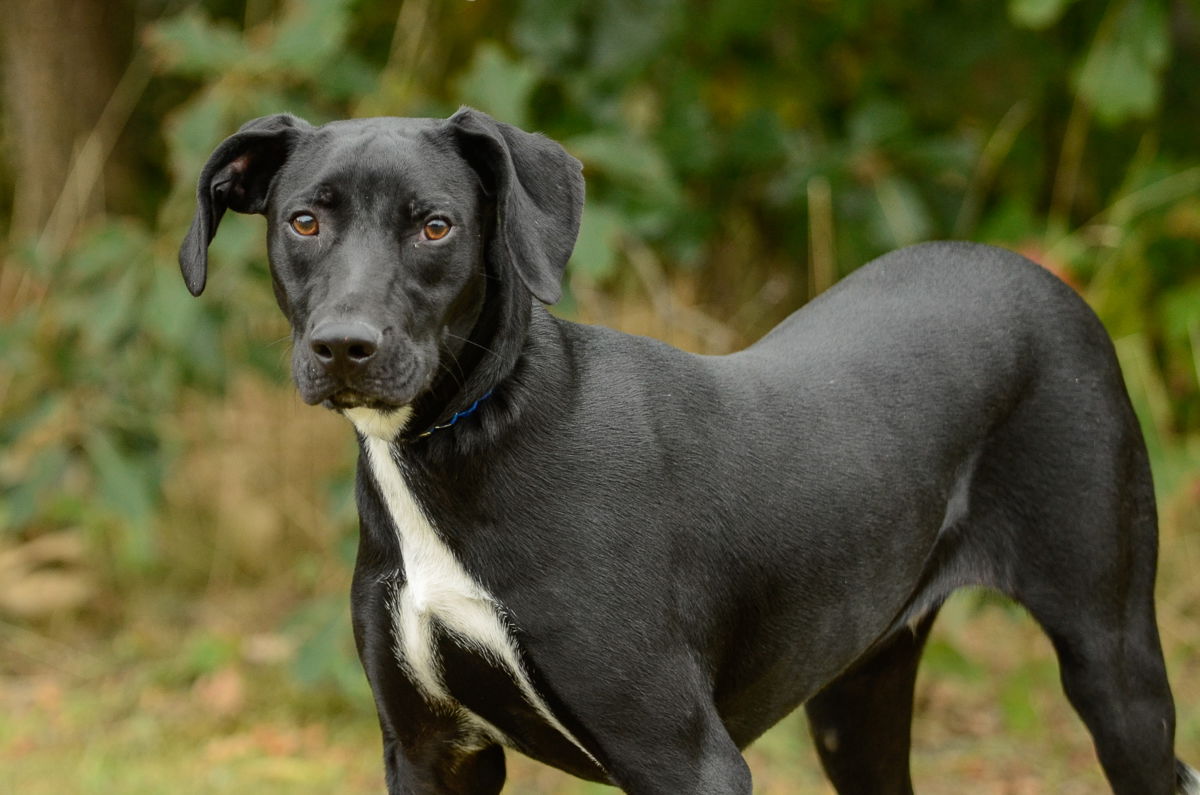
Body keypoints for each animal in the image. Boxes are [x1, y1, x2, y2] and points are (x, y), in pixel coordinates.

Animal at [175, 107, 1190, 795]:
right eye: (304, 221)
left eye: (436, 225)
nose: (344, 347)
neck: (470, 443)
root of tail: (1035, 275)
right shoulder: (430, 750)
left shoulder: (685, 755)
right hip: (854, 694)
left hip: (1111, 656)